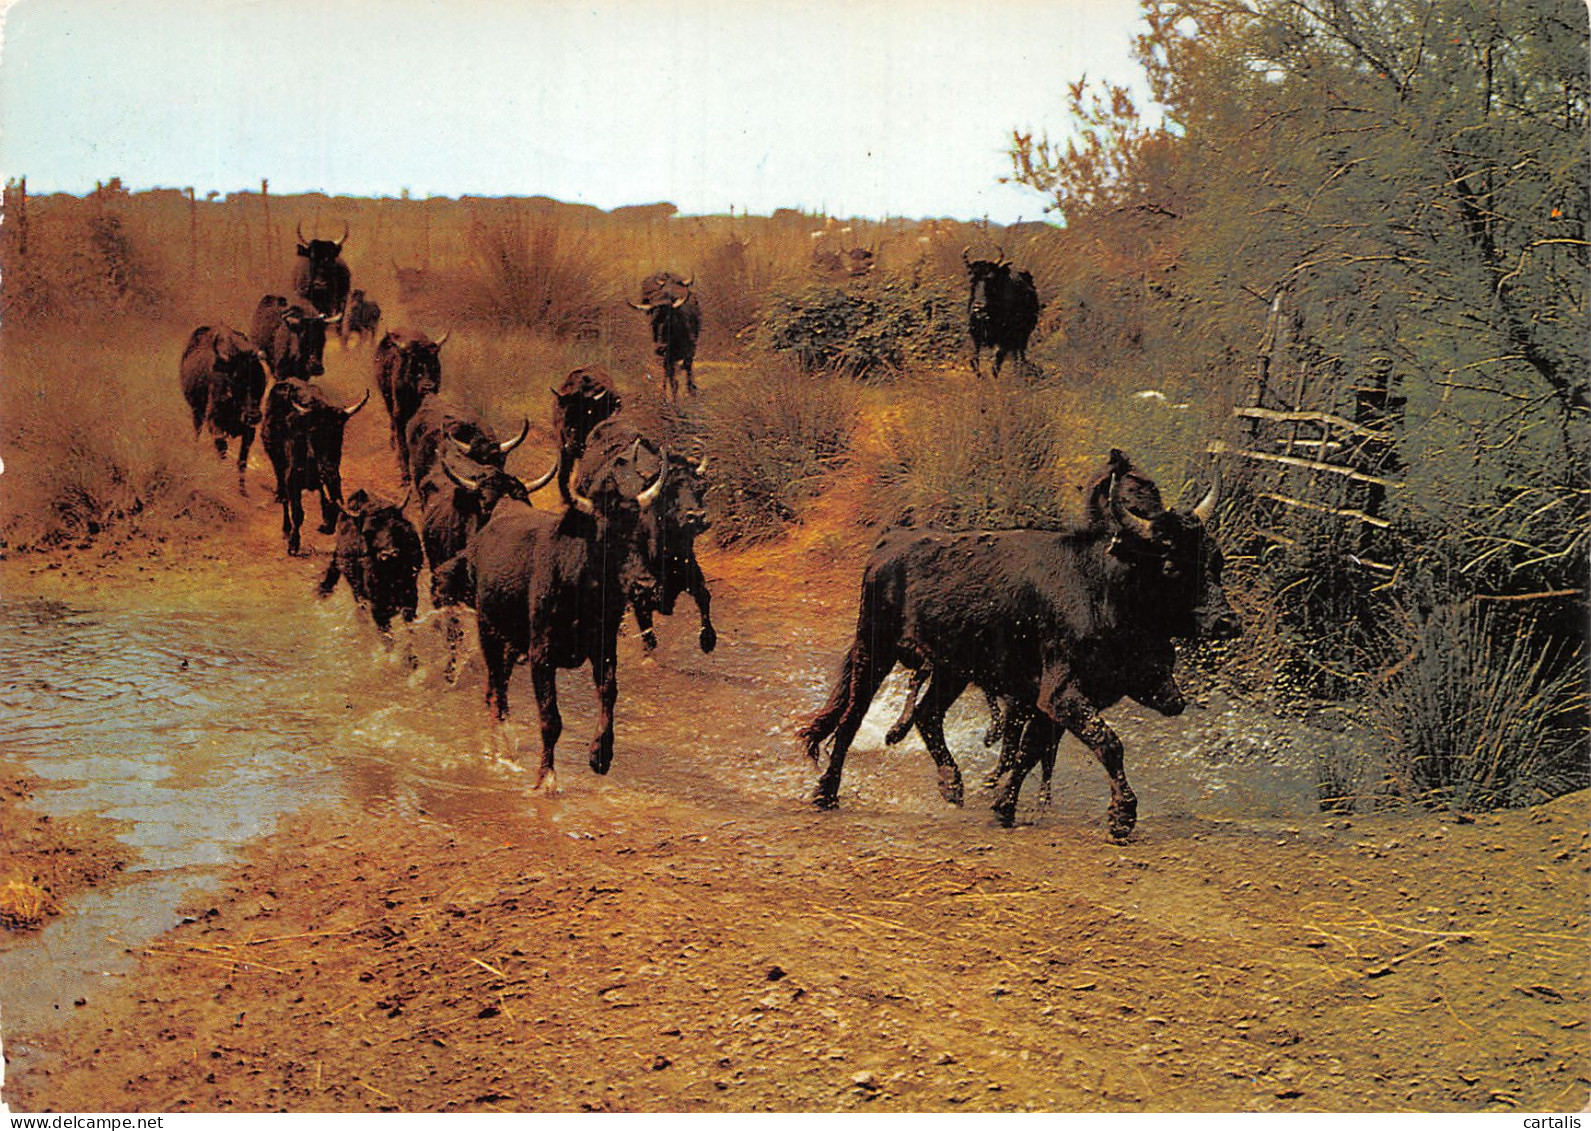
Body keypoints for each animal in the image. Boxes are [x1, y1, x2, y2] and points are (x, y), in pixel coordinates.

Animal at [801, 467, 1234, 839]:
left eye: (1216, 560)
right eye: (1171, 566)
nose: (1227, 622)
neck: (1102, 588)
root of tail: (891, 541)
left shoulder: (1046, 700)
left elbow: (1029, 751)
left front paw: (1003, 806)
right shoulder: (1060, 693)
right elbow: (1107, 743)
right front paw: (1122, 815)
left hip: (952, 668)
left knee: (927, 715)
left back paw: (952, 784)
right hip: (874, 651)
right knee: (851, 719)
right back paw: (826, 793)